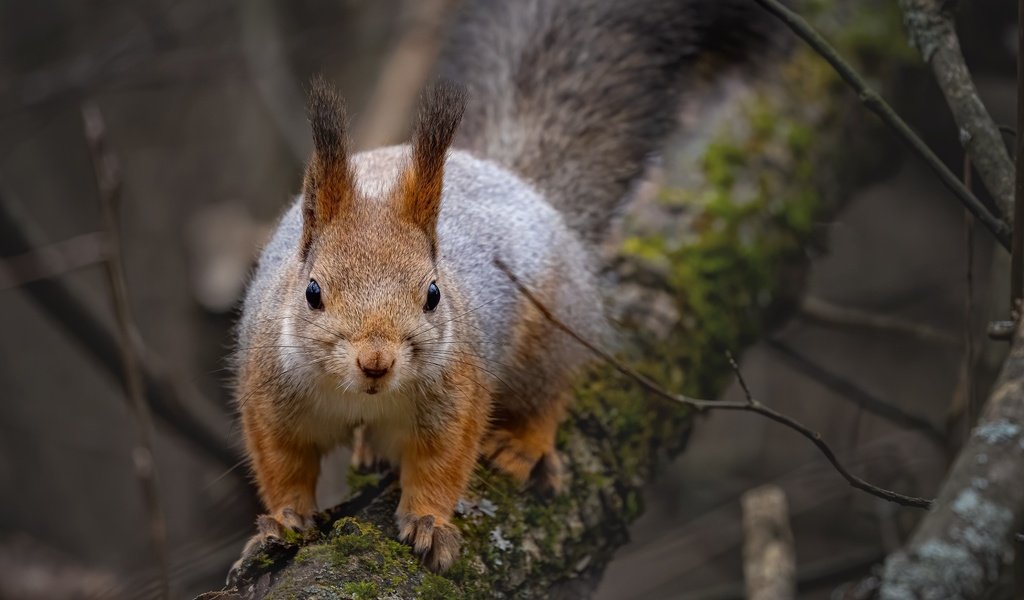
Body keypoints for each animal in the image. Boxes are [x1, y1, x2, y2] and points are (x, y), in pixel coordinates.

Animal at [232, 0, 774, 573]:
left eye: (433, 294)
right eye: (312, 292)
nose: (376, 362)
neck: (362, 397)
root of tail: (517, 182)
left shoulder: (460, 391)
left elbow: (442, 464)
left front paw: (428, 524)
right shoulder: (267, 394)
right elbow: (283, 464)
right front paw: (285, 521)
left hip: (548, 334)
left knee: (549, 393)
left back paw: (522, 445)